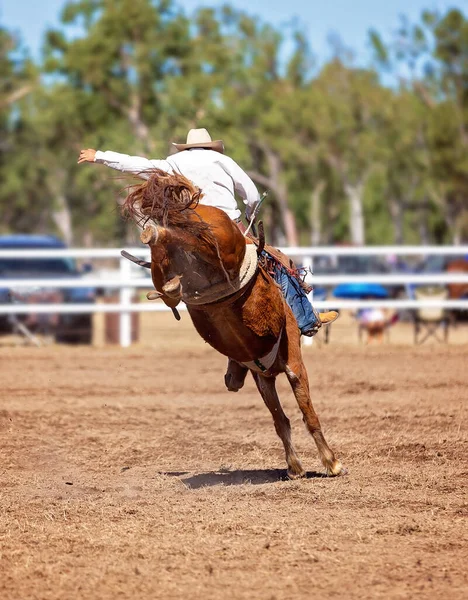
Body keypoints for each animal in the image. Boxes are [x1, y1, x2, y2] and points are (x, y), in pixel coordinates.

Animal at [123, 169, 344, 478]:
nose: (231, 378)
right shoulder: (293, 364)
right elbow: (307, 414)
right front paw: (331, 462)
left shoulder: (262, 377)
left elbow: (281, 421)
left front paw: (294, 466)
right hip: (220, 246)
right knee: (189, 240)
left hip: (171, 259)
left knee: (171, 247)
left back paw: (163, 258)